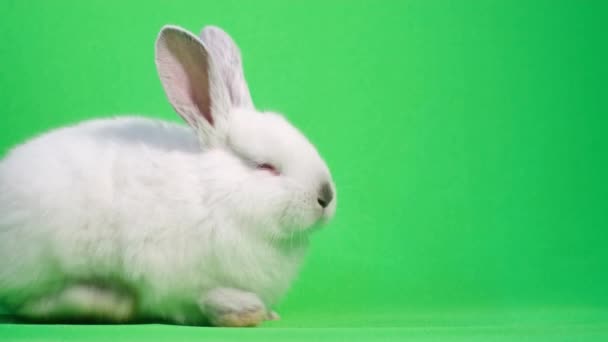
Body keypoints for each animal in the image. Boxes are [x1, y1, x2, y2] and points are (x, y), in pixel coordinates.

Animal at [0, 26, 338, 326]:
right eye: (265, 166)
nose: (326, 196)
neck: (214, 191)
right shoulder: (176, 277)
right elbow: (197, 298)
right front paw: (240, 310)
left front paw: (268, 314)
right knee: (31, 306)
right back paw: (109, 301)